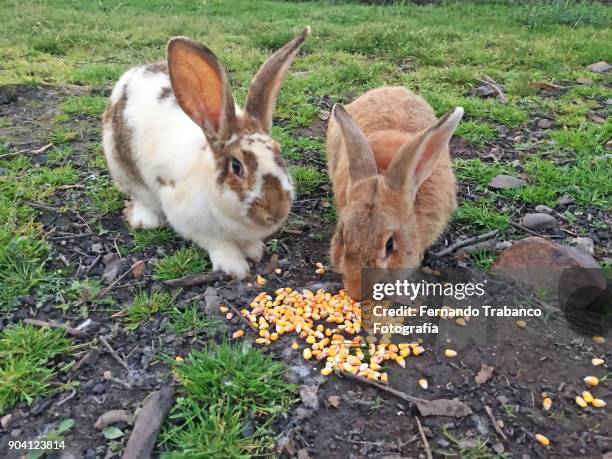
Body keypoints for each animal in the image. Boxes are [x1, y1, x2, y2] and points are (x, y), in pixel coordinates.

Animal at [103, 29, 310, 280]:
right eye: (237, 166)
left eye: (278, 152)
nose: (277, 209)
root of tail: (134, 73)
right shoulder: (192, 224)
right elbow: (220, 246)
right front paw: (235, 267)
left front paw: (256, 251)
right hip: (123, 168)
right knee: (140, 196)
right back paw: (146, 221)